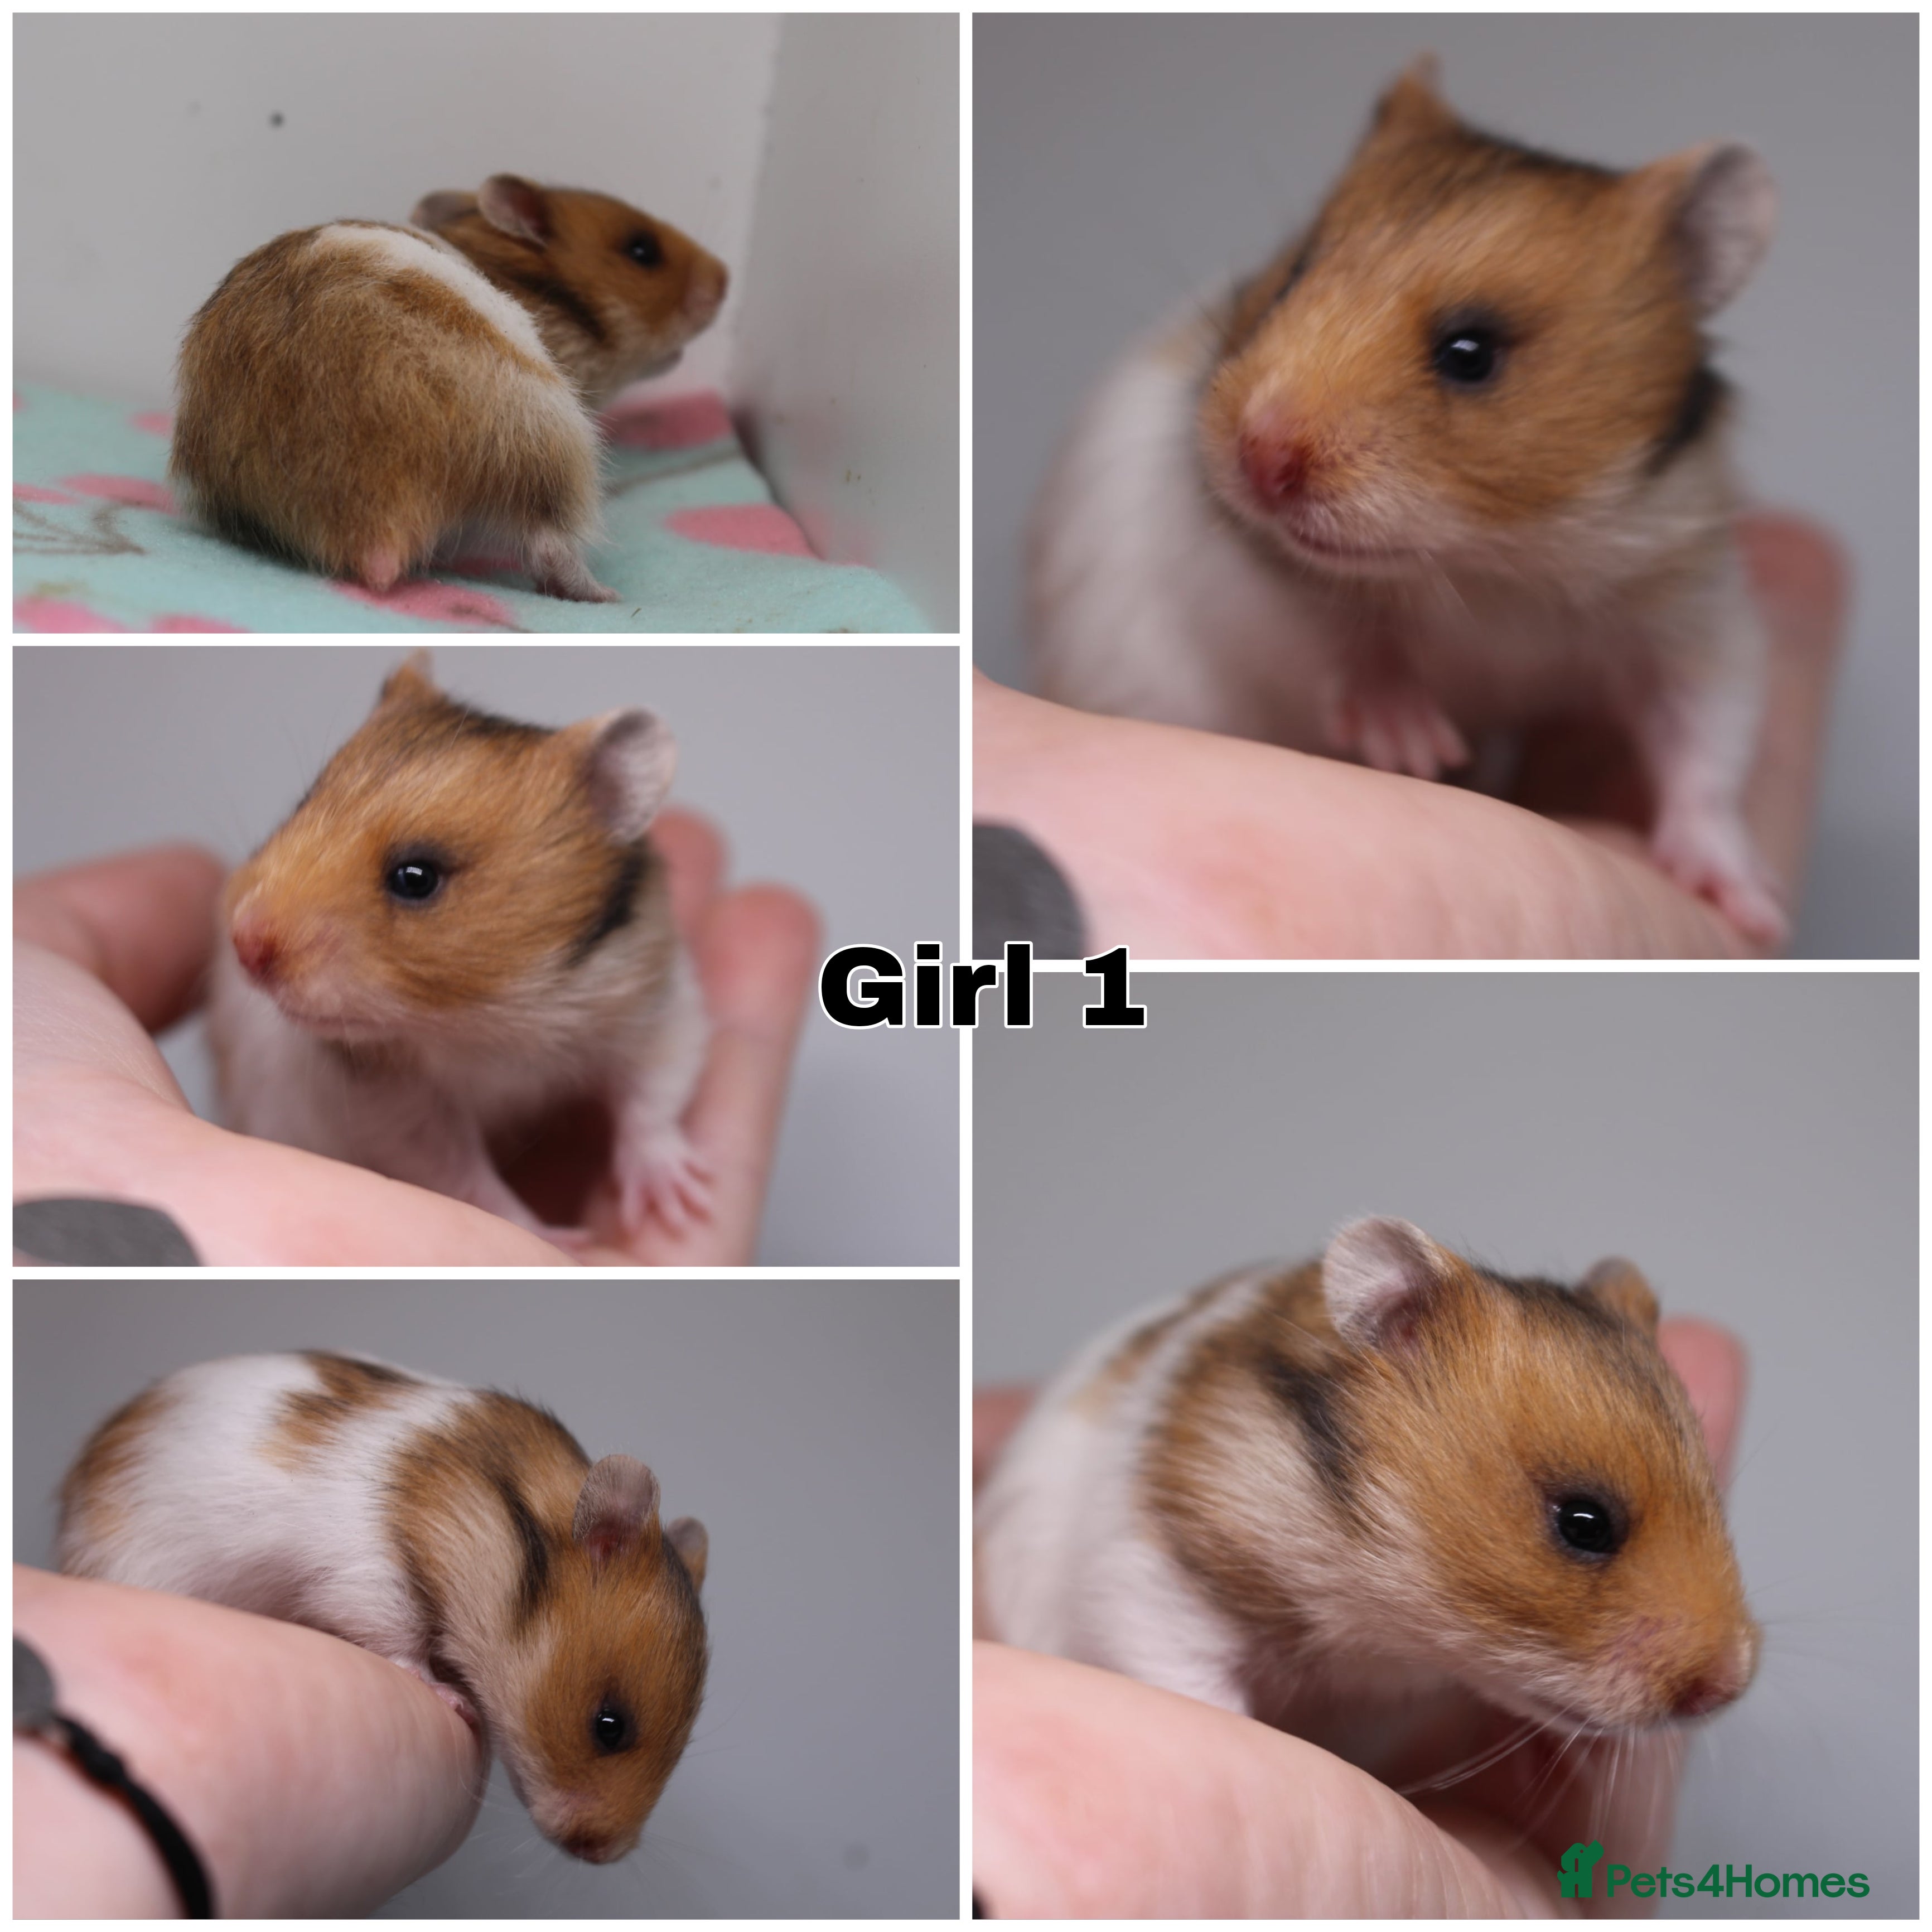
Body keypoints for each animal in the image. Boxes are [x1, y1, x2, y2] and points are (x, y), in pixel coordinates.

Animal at [169, 173, 729, 601]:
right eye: (642, 251)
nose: (727, 276)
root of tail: (370, 522)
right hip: (550, 434)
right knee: (550, 543)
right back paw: (606, 595)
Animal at [204, 654, 711, 1246]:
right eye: (305, 803)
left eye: (417, 878)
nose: (242, 943)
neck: (494, 1013)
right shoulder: (401, 1108)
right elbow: (466, 1177)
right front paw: (555, 1237)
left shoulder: (656, 1004)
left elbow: (653, 1097)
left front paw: (678, 1208)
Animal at [1030, 60, 1784, 942]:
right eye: (1292, 276)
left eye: (1471, 353)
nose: (1260, 459)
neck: (1494, 562)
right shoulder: (1231, 569)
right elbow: (1337, 644)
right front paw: (1416, 748)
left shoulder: (1693, 616)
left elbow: (1706, 745)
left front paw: (1749, 906)